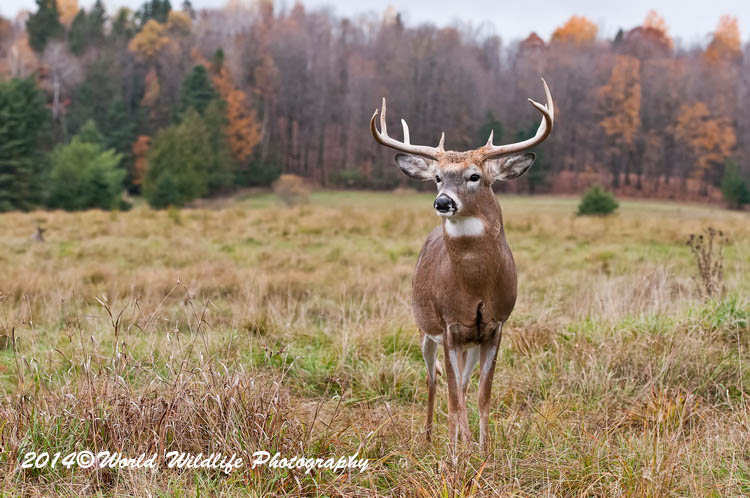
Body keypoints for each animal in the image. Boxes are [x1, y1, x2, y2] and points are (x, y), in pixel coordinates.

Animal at [370, 79, 554, 452]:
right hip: (425, 329)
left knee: (462, 385)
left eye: (474, 176)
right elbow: (453, 397)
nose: (443, 202)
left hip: (470, 342)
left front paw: (482, 450)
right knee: (433, 380)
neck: (476, 286)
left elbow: (482, 395)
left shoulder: (496, 325)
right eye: (438, 177)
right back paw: (429, 439)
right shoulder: (449, 325)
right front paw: (454, 455)